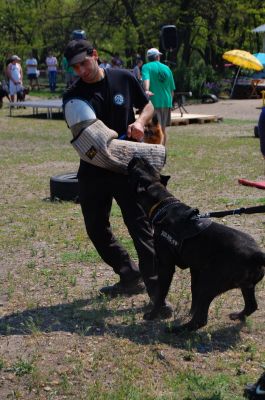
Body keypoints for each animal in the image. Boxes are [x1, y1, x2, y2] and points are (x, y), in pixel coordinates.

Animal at [127, 158, 262, 332]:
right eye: (148, 165)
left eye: (137, 169)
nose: (135, 157)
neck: (164, 205)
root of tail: (256, 255)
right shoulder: (195, 268)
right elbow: (193, 293)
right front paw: (190, 311)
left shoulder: (166, 267)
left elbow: (160, 293)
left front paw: (153, 314)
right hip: (246, 286)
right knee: (251, 306)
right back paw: (237, 316)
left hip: (209, 283)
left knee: (200, 320)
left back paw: (177, 330)